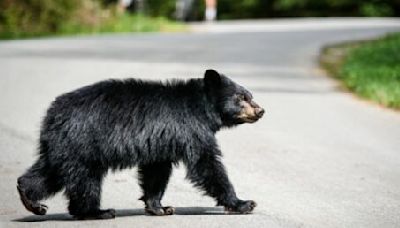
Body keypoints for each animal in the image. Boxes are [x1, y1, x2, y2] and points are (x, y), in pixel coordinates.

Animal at [17, 69, 264, 219]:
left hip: (63, 146)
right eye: (242, 97)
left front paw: (159, 207)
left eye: (250, 95)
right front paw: (242, 203)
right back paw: (97, 211)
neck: (202, 107)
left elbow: (156, 172)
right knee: (85, 179)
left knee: (50, 172)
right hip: (82, 142)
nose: (261, 110)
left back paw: (30, 198)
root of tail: (52, 113)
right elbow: (206, 165)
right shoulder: (190, 128)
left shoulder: (162, 142)